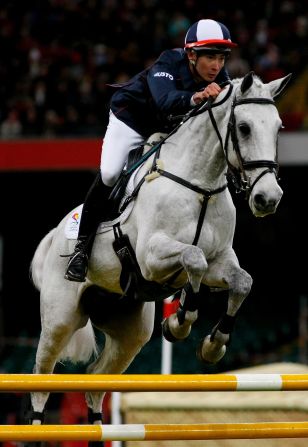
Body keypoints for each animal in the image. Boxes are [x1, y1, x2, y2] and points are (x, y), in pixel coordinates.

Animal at [28, 73, 288, 430]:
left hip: (130, 332)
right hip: (60, 319)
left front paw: (213, 344)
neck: (201, 185)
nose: (268, 198)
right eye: (244, 127)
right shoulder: (152, 258)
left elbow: (240, 281)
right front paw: (180, 321)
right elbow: (194, 259)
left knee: (95, 381)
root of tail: (56, 234)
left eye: (277, 128)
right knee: (42, 378)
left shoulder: (220, 260)